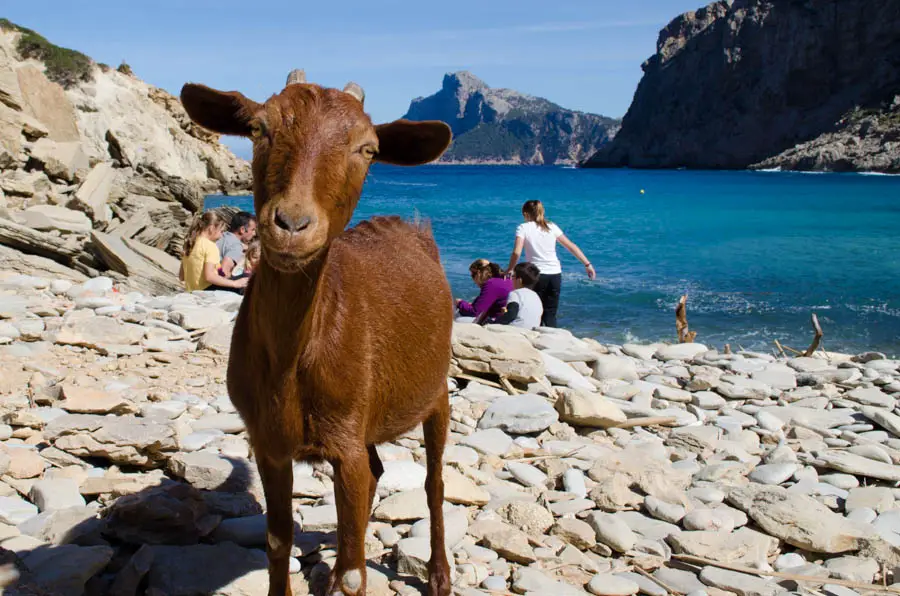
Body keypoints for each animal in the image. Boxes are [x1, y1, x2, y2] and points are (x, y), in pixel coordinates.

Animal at [178, 71, 454, 596]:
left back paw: (439, 574)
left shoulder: (345, 441)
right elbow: (278, 541)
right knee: (378, 471)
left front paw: (345, 574)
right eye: (258, 128)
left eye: (368, 149)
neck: (294, 359)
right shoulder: (269, 442)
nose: (292, 224)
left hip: (437, 393)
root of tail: (412, 228)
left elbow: (354, 574)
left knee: (434, 483)